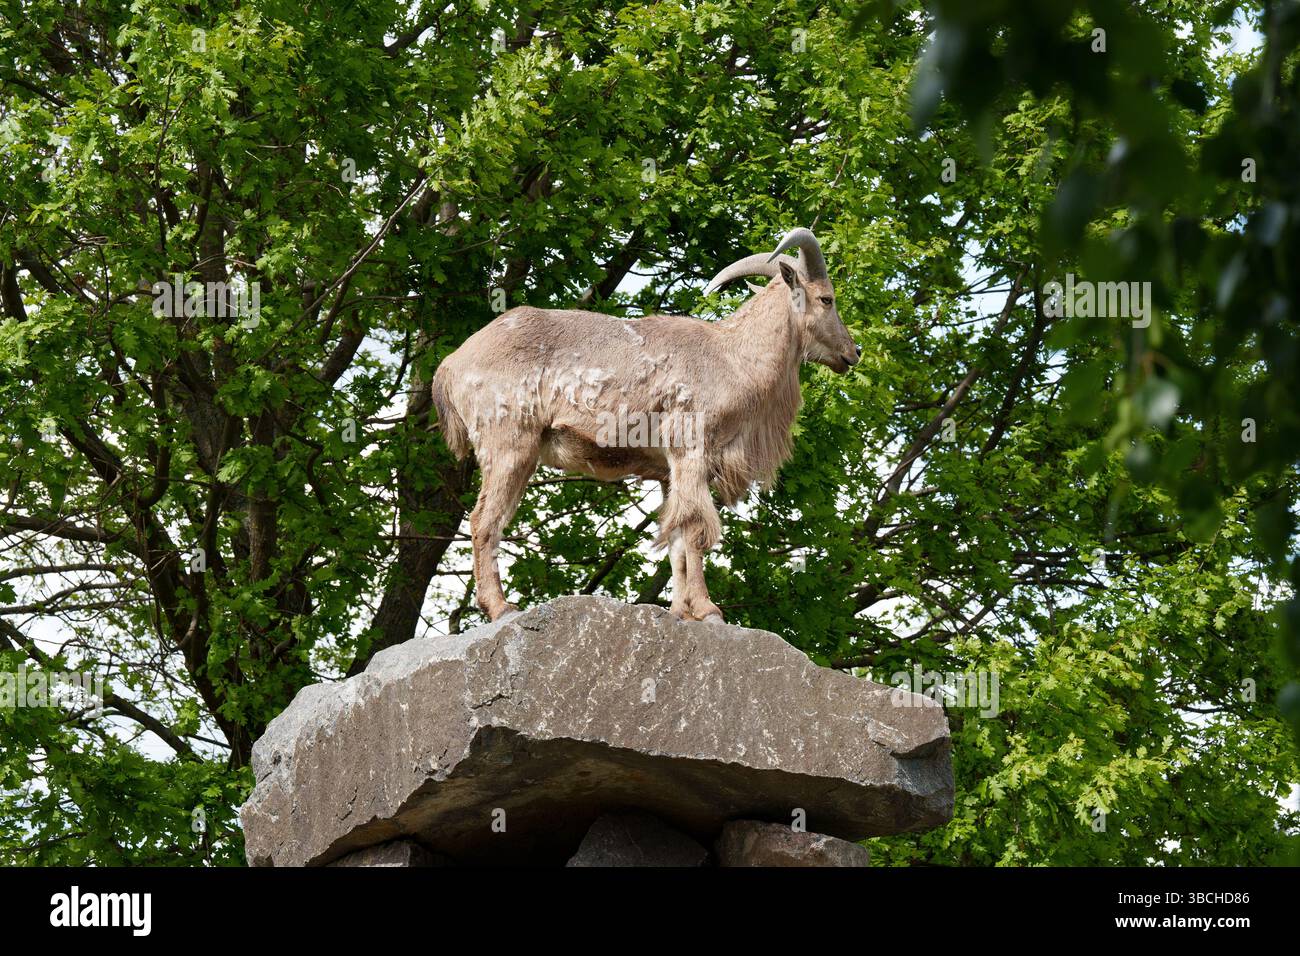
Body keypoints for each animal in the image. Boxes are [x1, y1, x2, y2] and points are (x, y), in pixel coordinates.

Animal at [431, 228, 859, 623]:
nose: (852, 352)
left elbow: (677, 540)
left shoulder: (669, 473)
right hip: (508, 445)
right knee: (484, 520)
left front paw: (681, 611)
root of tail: (451, 364)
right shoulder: (692, 450)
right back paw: (501, 607)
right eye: (827, 298)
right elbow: (695, 528)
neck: (734, 357)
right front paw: (708, 610)